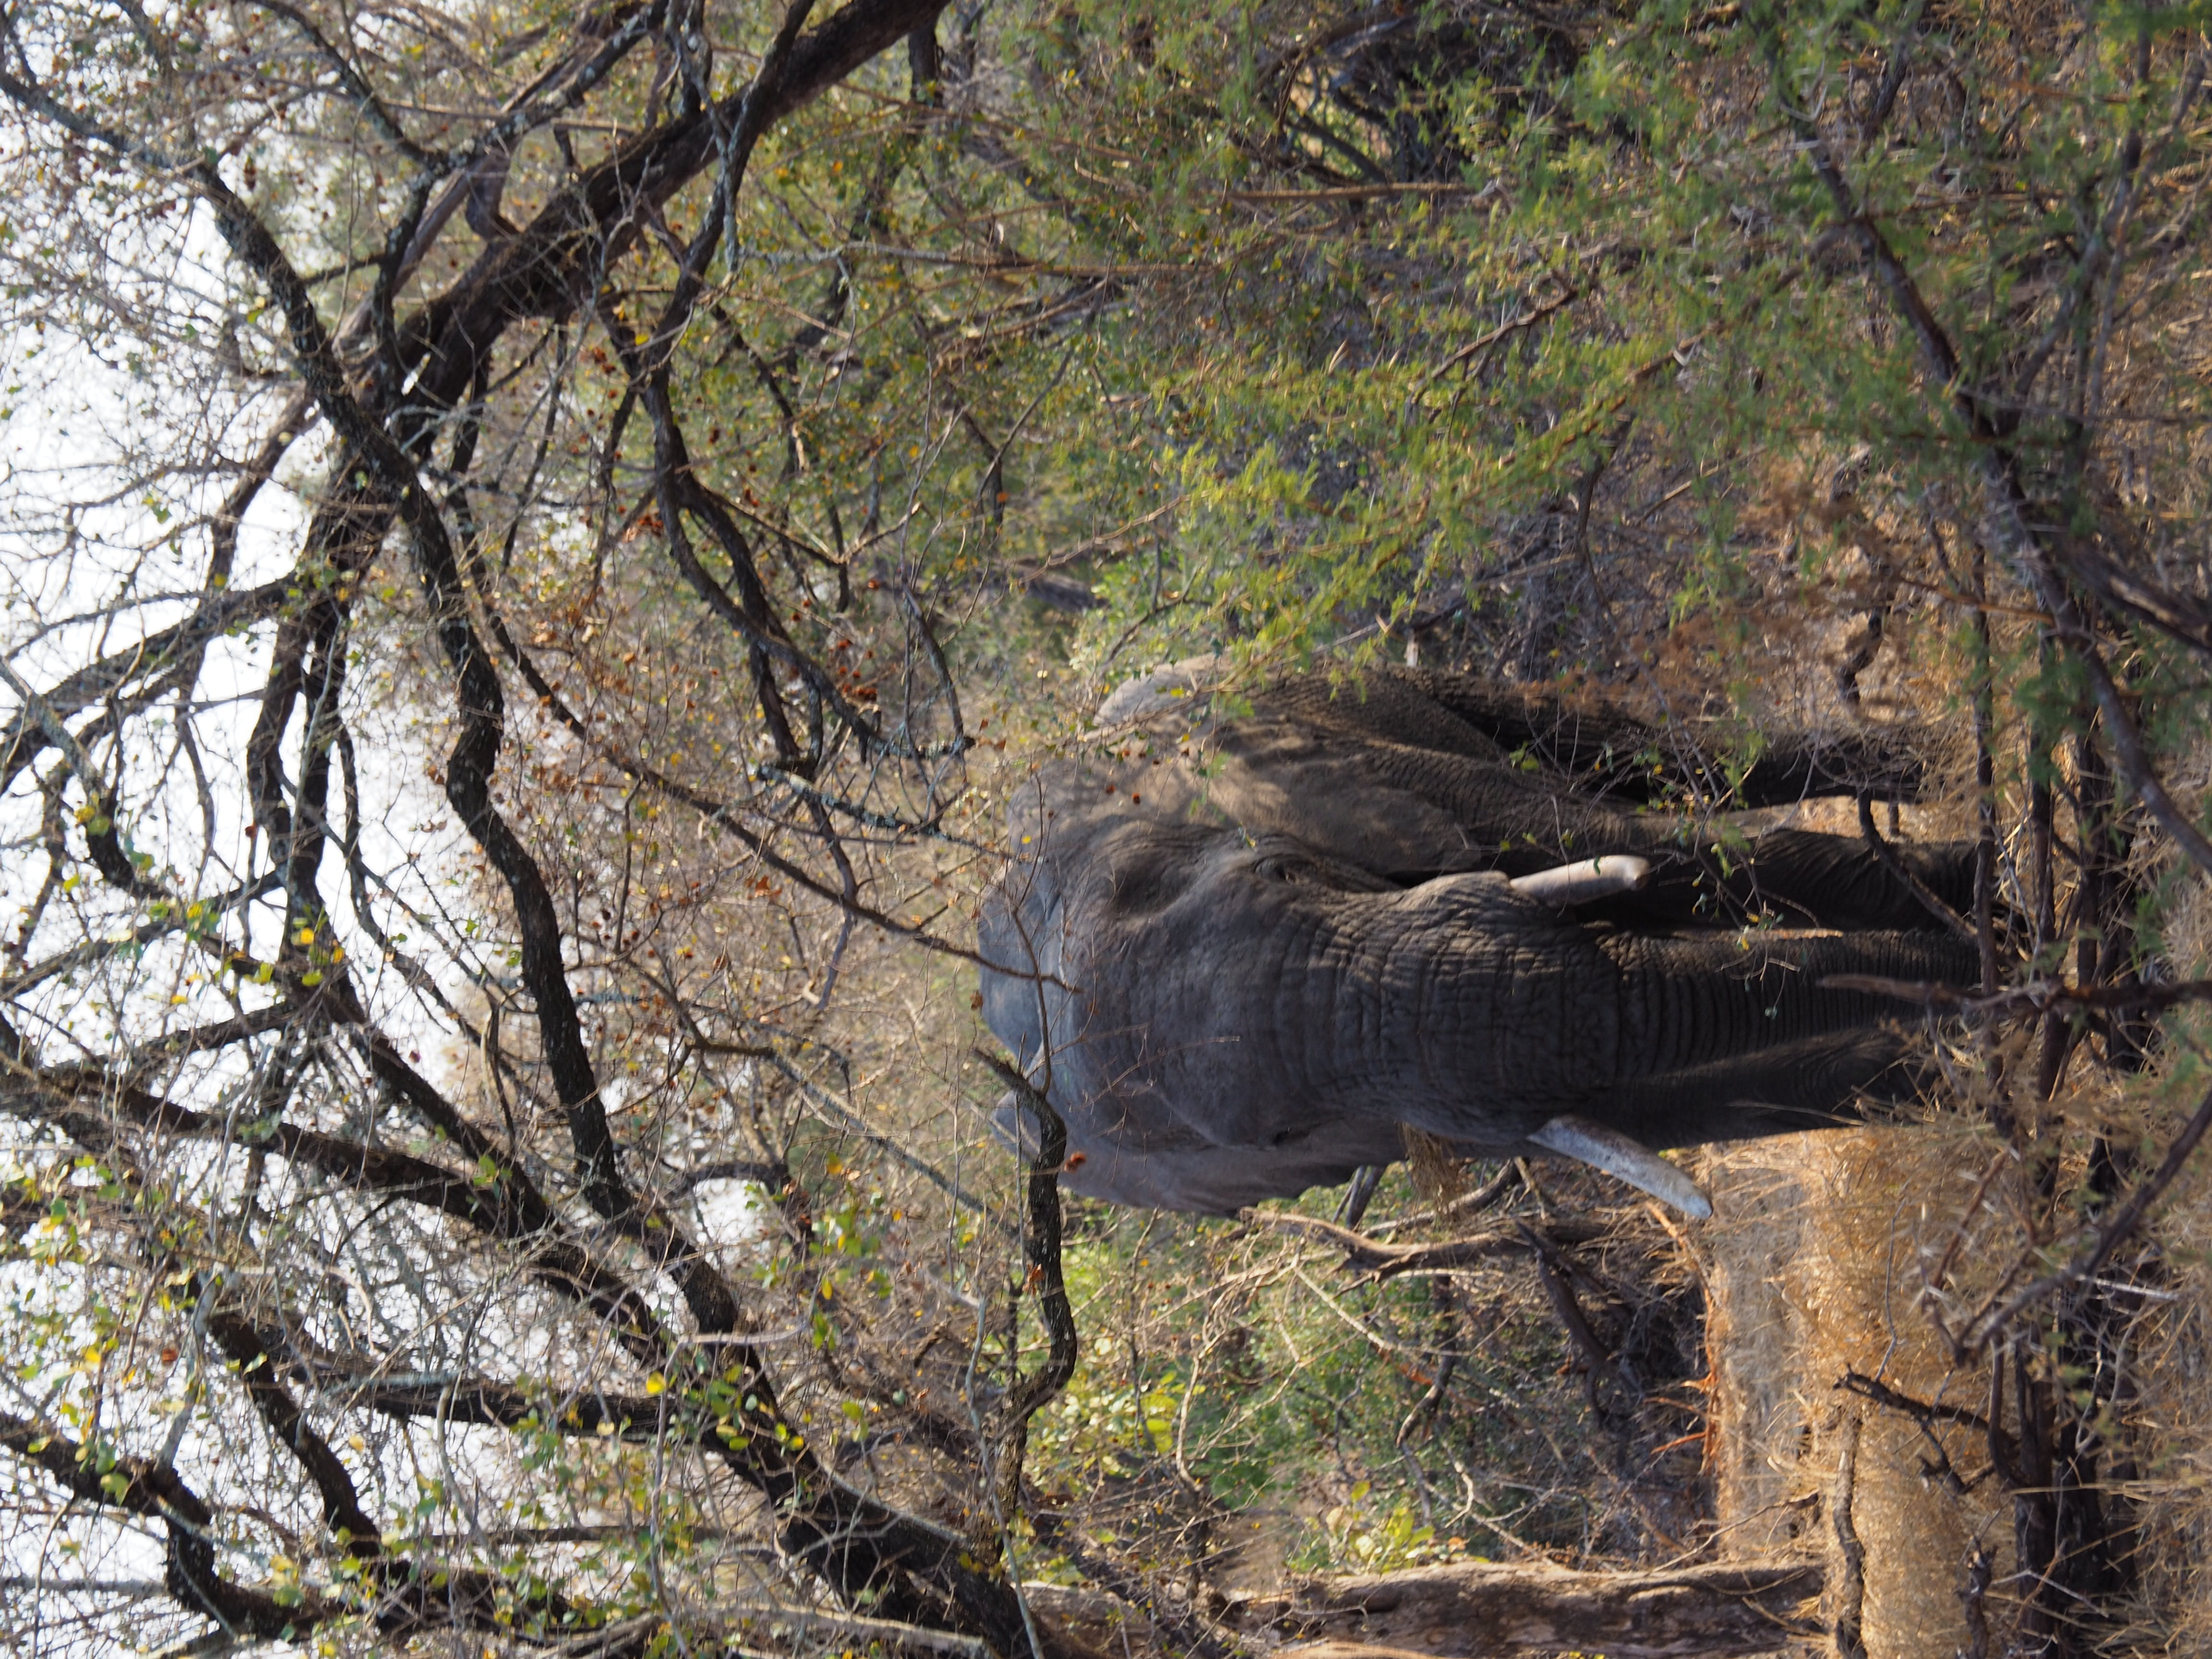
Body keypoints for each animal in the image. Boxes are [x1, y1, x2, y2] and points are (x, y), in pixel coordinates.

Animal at [978, 662, 1981, 1217]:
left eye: (1281, 871)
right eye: (1278, 1135)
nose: (1958, 982)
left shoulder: (1345, 777)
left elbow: (1629, 845)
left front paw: (1995, 923)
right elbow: (1673, 1104)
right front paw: (1963, 1060)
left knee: (1613, 747)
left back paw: (1935, 771)